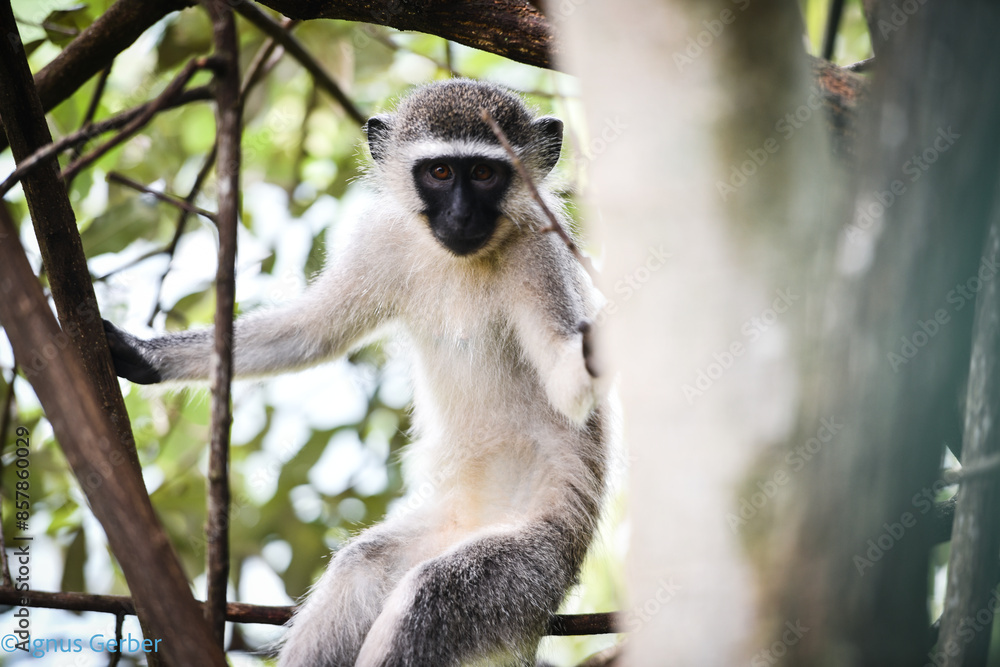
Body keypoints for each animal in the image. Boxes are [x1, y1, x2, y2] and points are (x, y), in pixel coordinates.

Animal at [103, 78, 608, 666]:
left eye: (485, 174)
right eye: (441, 172)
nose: (461, 217)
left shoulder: (540, 253)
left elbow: (565, 381)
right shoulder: (380, 240)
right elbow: (310, 331)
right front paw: (142, 355)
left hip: (533, 565)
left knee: (432, 594)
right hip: (440, 527)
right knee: (361, 568)